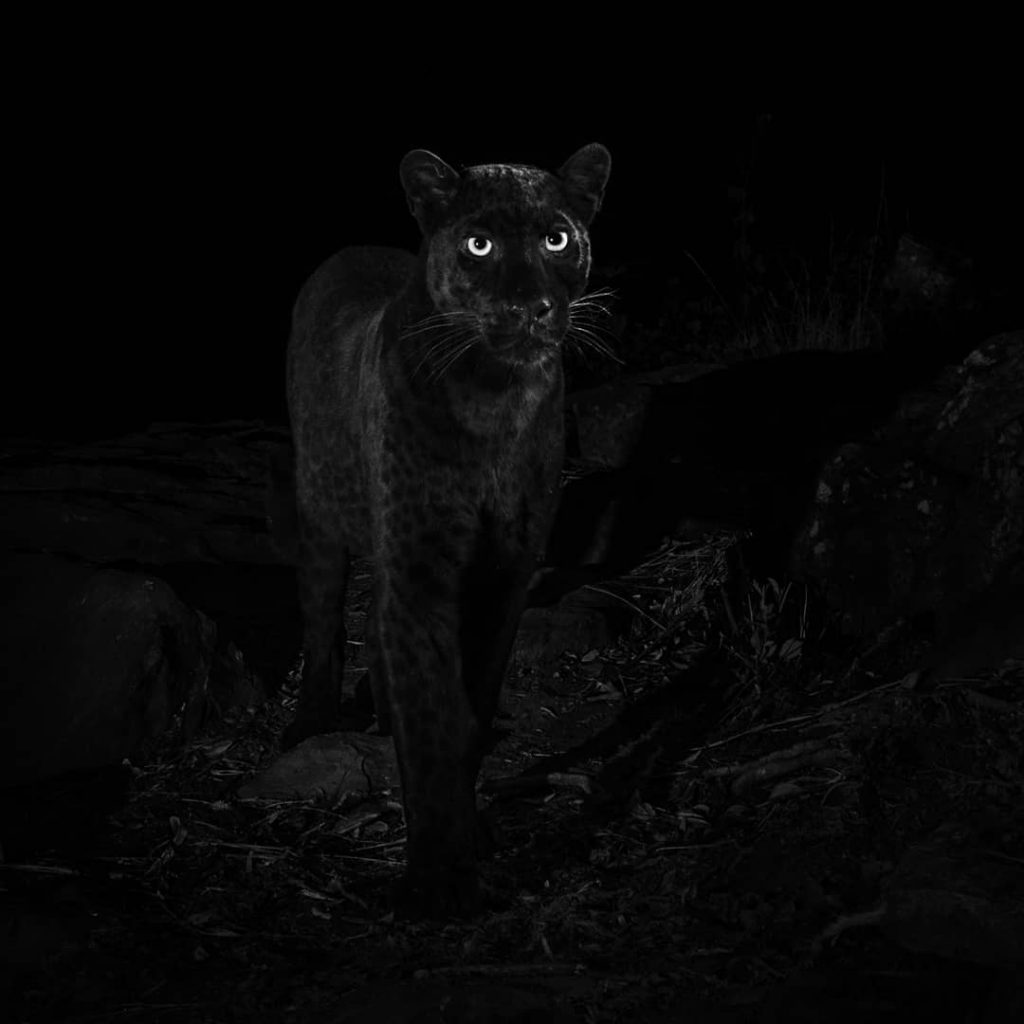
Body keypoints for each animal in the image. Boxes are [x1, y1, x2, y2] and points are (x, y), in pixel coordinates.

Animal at [283, 143, 612, 917]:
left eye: (557, 238)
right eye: (478, 244)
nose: (527, 307)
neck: (495, 398)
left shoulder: (506, 570)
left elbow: (472, 704)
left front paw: (471, 834)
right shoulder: (420, 568)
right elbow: (433, 715)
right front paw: (440, 880)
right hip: (321, 514)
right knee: (322, 614)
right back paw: (314, 717)